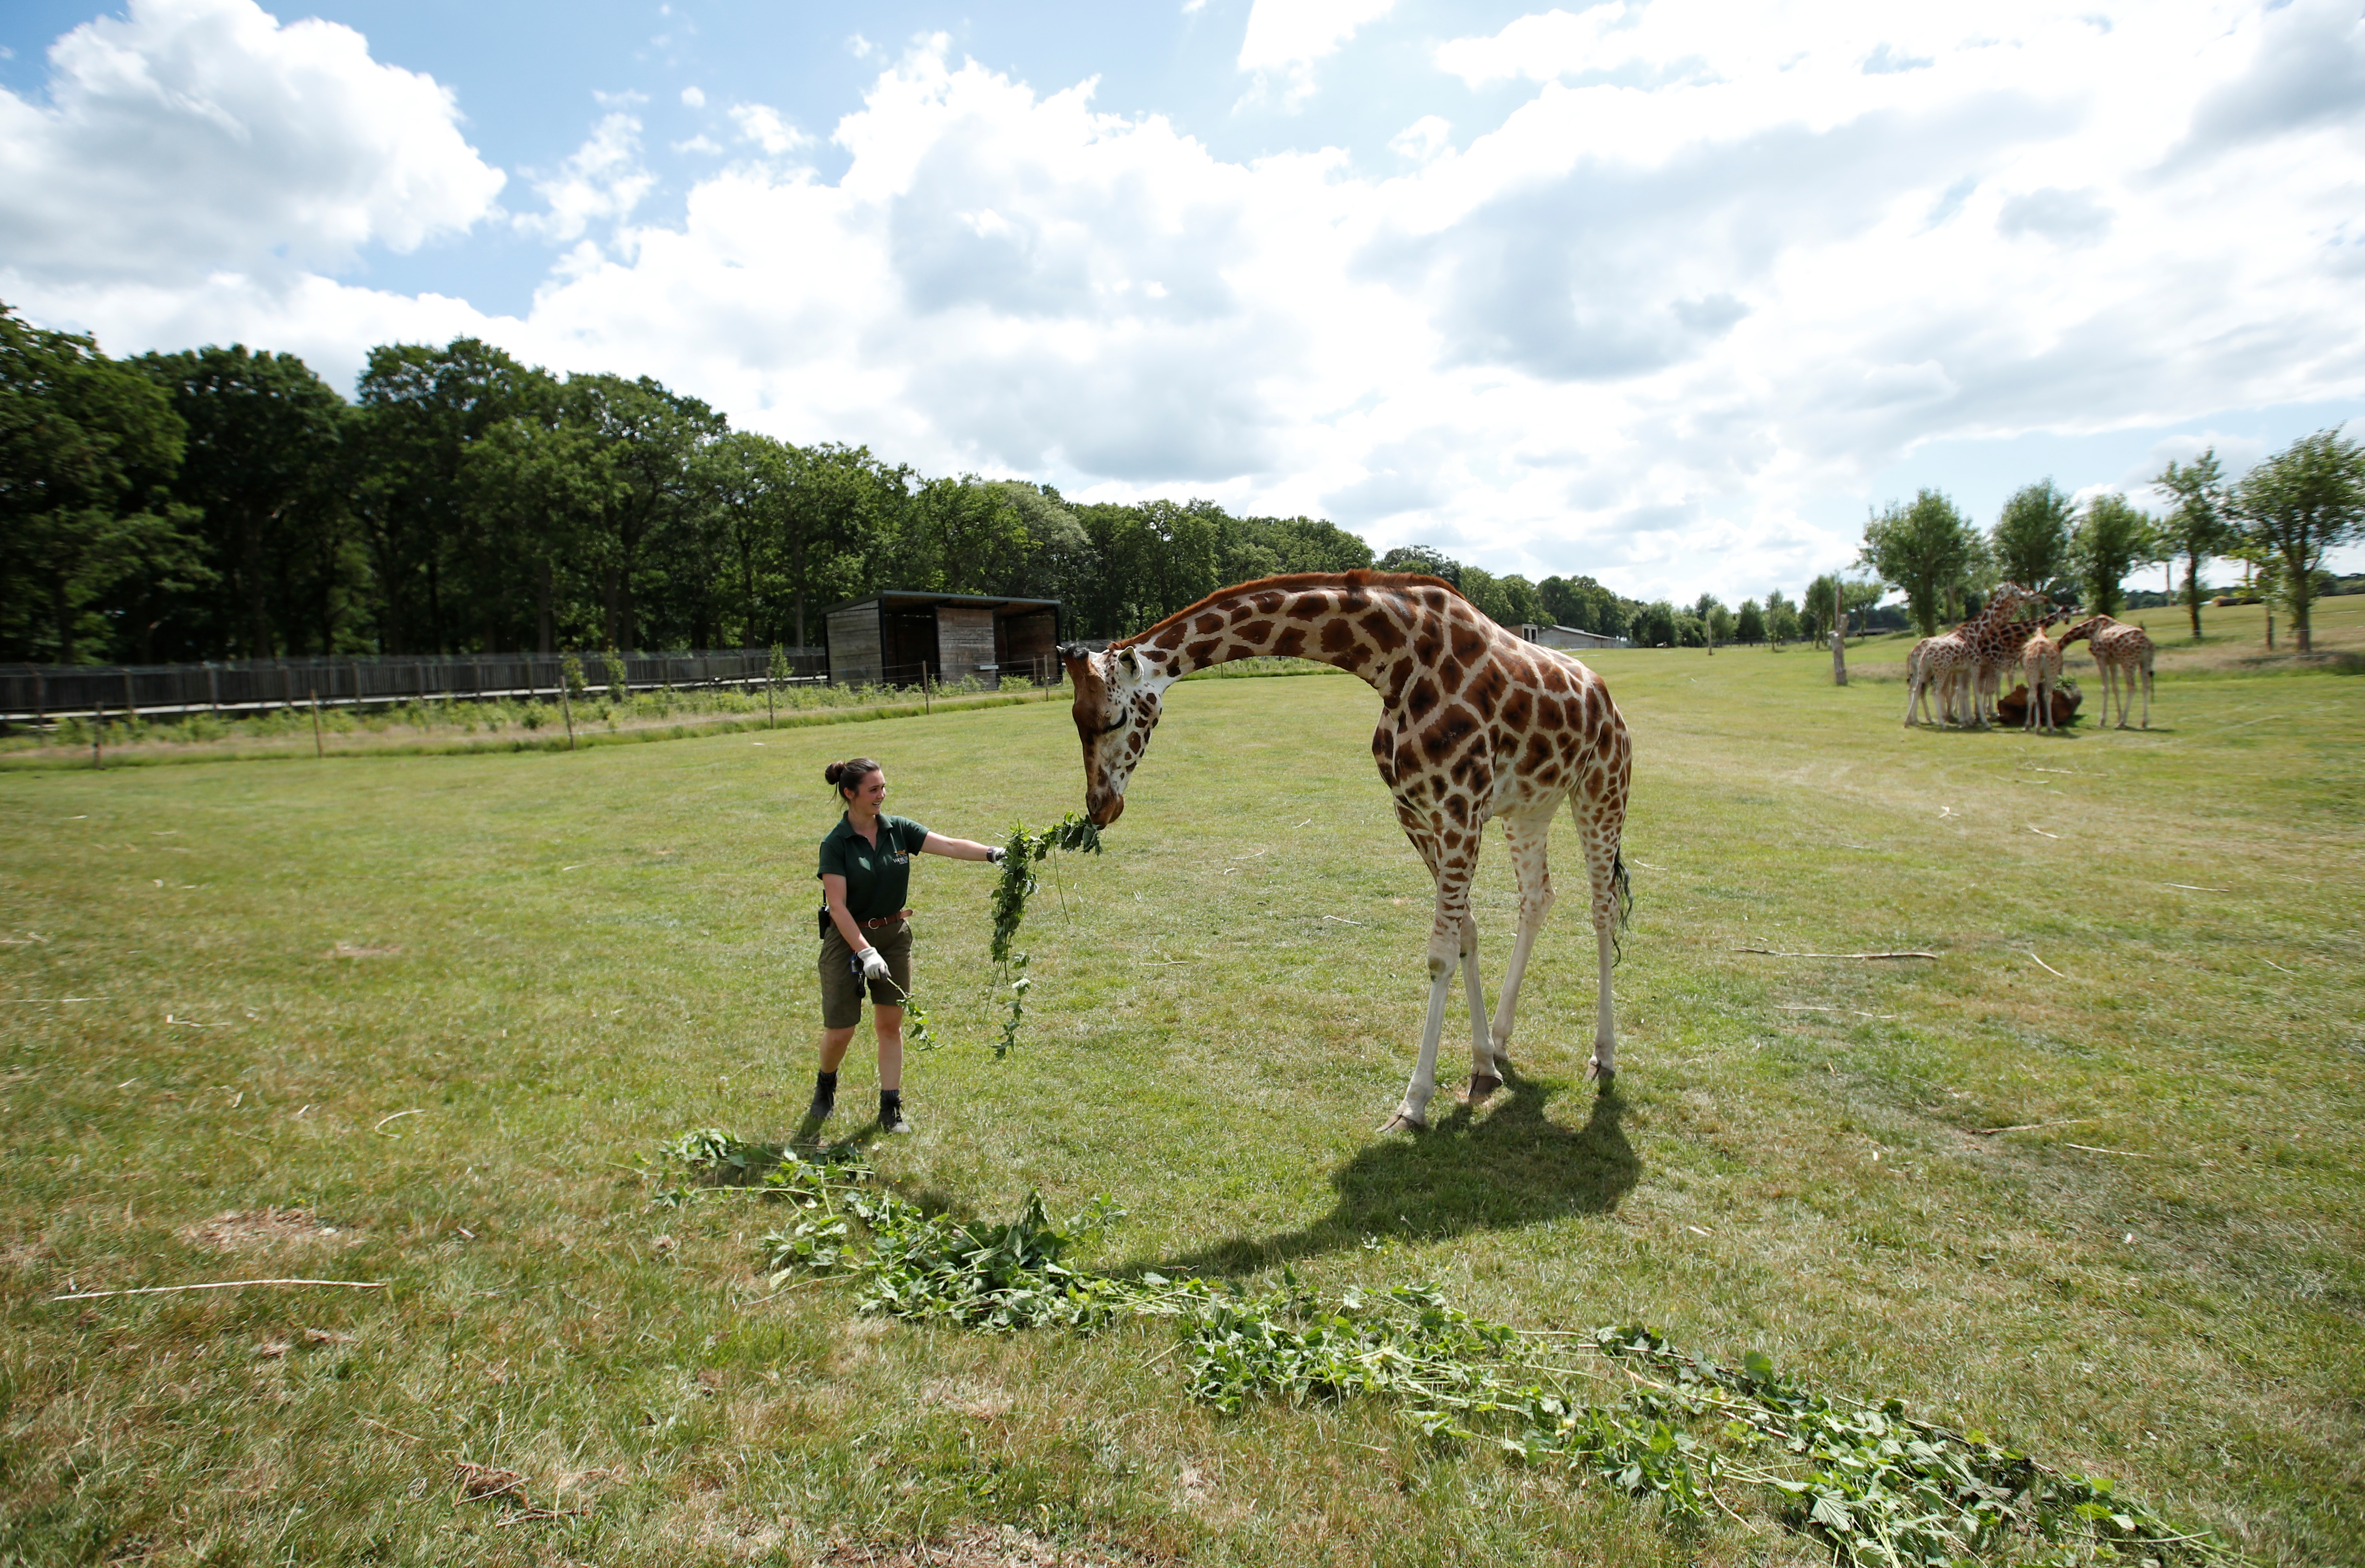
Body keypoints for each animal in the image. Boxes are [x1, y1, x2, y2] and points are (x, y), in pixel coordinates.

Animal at [1064, 570, 1637, 1135]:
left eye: (1113, 719)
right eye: (1075, 720)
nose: (1100, 806)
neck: (1395, 664)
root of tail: (1608, 698)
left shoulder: (1459, 810)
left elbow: (1440, 952)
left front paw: (1414, 1103)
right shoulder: (1417, 813)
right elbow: (1467, 935)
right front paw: (1482, 1066)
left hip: (1602, 788)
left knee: (1602, 906)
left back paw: (1603, 1055)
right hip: (1530, 807)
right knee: (1538, 897)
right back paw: (1501, 1039)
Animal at [2062, 614, 2157, 733]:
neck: (2088, 630)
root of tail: (2148, 645)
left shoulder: (2101, 658)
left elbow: (2105, 688)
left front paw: (2102, 722)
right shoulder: (2113, 662)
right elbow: (2116, 688)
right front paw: (2118, 717)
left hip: (2128, 662)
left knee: (2132, 687)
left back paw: (2121, 724)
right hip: (2146, 661)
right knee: (2146, 687)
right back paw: (2144, 723)